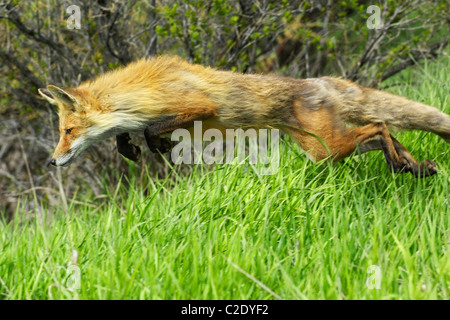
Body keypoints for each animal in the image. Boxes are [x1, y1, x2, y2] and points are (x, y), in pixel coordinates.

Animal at [39, 56, 450, 179]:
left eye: (68, 131)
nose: (52, 161)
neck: (140, 92)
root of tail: (315, 82)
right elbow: (129, 134)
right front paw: (132, 147)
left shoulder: (200, 107)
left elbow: (155, 126)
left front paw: (156, 144)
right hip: (321, 149)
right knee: (384, 133)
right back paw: (414, 166)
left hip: (328, 148)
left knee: (379, 125)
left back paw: (401, 164)